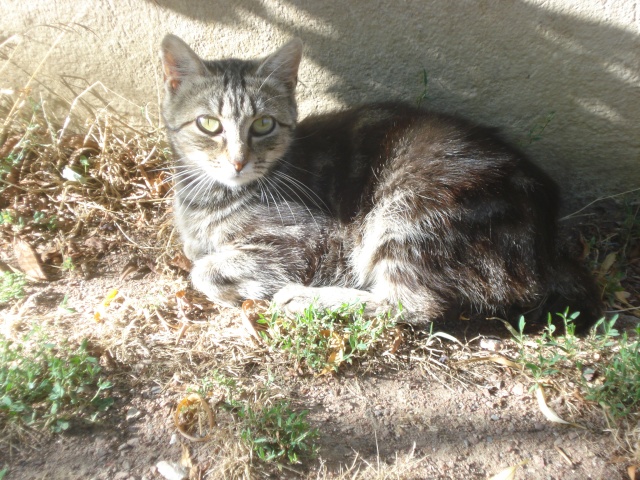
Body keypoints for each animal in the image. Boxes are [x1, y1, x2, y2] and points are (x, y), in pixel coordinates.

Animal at [159, 35, 600, 332]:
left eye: (264, 124)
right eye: (209, 124)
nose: (238, 161)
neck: (209, 196)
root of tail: (548, 243)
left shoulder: (305, 244)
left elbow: (203, 271)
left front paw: (248, 287)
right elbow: (197, 254)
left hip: (409, 214)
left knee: (414, 305)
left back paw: (304, 299)